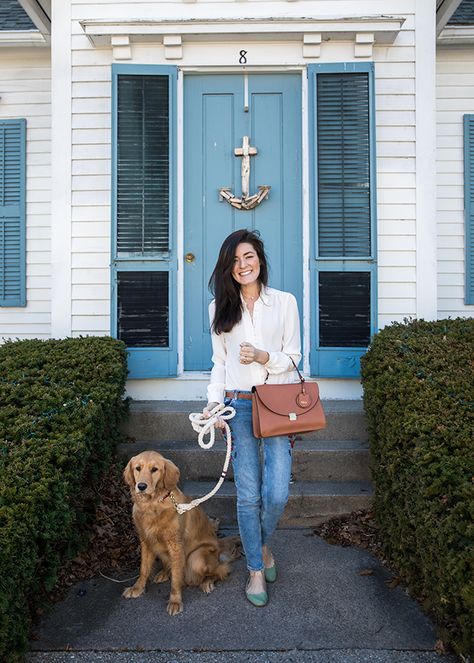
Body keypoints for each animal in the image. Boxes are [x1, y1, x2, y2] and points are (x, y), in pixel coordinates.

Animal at [123, 452, 239, 616]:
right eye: (137, 468)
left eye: (154, 469)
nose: (141, 486)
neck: (153, 505)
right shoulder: (146, 541)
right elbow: (144, 569)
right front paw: (137, 588)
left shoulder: (176, 545)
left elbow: (176, 579)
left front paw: (175, 601)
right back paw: (164, 573)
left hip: (196, 558)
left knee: (220, 570)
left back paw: (207, 582)